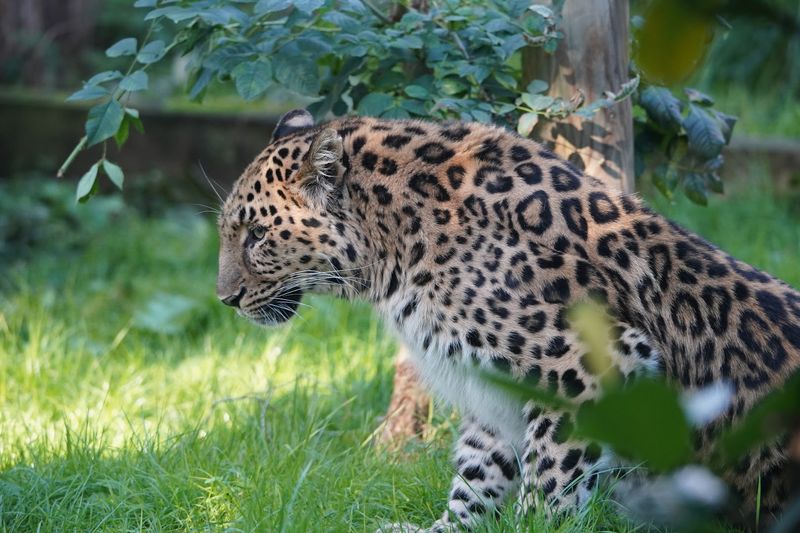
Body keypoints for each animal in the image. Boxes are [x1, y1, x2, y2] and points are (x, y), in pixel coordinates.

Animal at [216, 108, 800, 530]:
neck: (394, 243)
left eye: (257, 236)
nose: (225, 299)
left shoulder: (591, 363)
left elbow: (549, 478)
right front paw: (445, 528)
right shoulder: (491, 387)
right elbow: (478, 472)